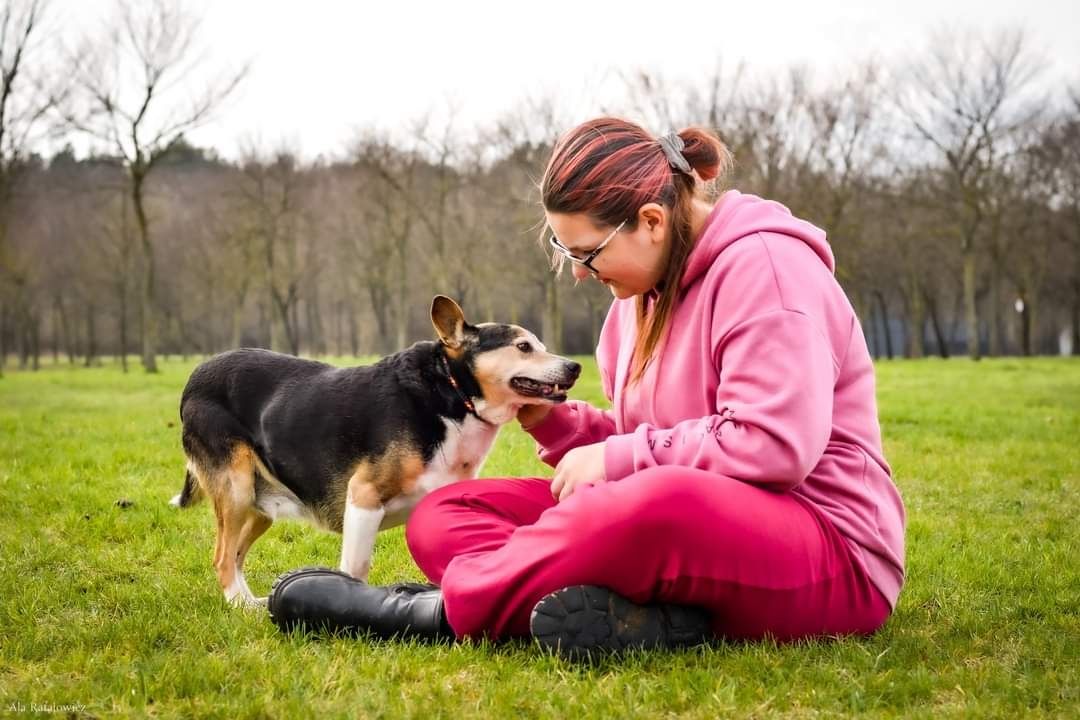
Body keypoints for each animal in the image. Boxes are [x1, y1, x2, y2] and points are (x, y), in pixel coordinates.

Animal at [174, 295, 583, 604]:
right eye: (523, 347)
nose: (575, 366)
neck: (451, 392)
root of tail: (195, 377)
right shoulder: (364, 497)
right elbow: (355, 569)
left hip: (258, 505)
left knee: (235, 554)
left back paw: (251, 603)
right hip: (236, 489)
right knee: (223, 558)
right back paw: (242, 607)